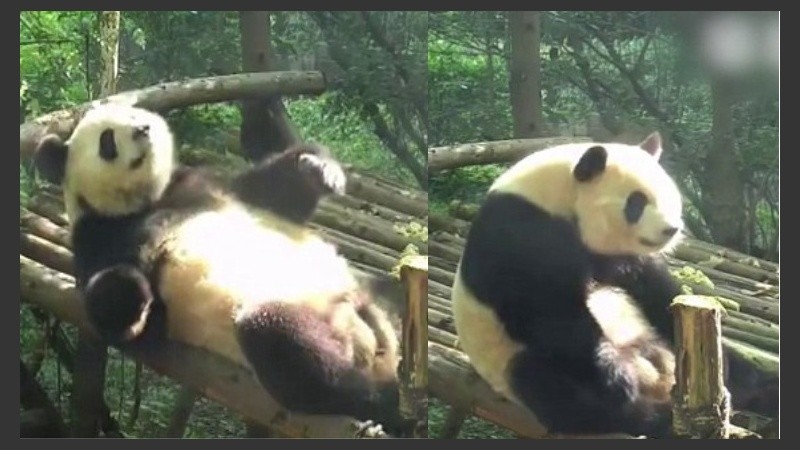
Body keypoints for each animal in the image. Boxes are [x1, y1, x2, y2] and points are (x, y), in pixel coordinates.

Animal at [33, 103, 410, 435]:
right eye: (107, 140)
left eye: (132, 112)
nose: (143, 130)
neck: (147, 200)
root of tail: (370, 345)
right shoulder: (100, 234)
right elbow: (125, 322)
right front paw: (129, 287)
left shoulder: (209, 188)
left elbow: (273, 193)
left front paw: (318, 168)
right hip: (295, 321)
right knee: (284, 346)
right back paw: (379, 405)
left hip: (366, 294)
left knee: (390, 295)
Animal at [451, 133, 777, 438]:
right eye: (637, 201)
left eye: (671, 196)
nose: (671, 229)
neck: (557, 195)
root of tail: (657, 376)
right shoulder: (519, 233)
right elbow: (546, 314)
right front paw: (617, 376)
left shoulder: (619, 256)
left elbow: (654, 290)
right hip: (509, 359)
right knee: (559, 392)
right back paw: (654, 415)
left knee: (742, 373)